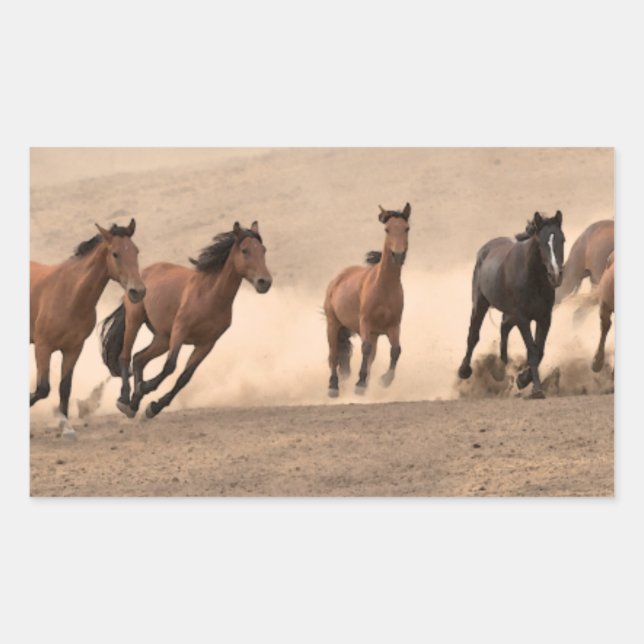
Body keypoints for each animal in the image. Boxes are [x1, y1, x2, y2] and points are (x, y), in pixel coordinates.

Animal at [30, 220, 145, 438]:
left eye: (136, 251)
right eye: (115, 253)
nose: (138, 291)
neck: (69, 294)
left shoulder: (73, 348)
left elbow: (64, 387)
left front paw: (66, 427)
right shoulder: (43, 346)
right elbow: (43, 388)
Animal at [100, 221, 272, 419]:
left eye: (263, 250)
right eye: (245, 250)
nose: (265, 282)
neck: (211, 296)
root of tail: (140, 275)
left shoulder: (207, 344)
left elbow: (184, 377)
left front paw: (154, 406)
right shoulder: (180, 331)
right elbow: (170, 366)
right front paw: (146, 388)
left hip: (162, 338)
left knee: (138, 359)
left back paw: (134, 403)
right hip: (135, 320)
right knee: (125, 356)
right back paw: (124, 400)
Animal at [324, 203, 410, 397]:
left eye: (406, 228)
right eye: (387, 229)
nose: (398, 255)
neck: (384, 288)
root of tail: (337, 279)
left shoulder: (393, 325)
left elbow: (396, 350)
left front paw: (385, 380)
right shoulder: (365, 322)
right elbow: (365, 348)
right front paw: (360, 384)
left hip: (374, 334)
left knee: (369, 357)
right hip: (333, 323)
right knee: (333, 354)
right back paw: (333, 386)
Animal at [458, 211, 565, 399]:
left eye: (562, 240)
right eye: (541, 242)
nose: (556, 275)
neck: (533, 278)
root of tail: (485, 248)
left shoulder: (544, 318)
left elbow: (539, 351)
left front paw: (522, 379)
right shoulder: (523, 318)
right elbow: (532, 351)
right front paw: (536, 389)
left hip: (509, 312)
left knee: (504, 326)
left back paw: (502, 367)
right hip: (480, 303)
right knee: (473, 334)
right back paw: (464, 370)